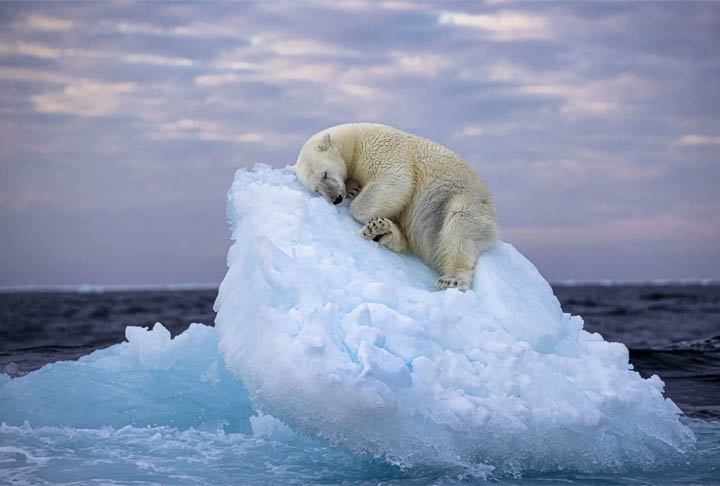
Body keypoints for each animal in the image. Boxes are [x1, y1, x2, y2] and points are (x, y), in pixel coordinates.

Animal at [292, 123, 496, 290]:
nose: (336, 198)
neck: (355, 140)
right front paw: (353, 188)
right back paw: (381, 231)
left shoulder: (382, 150)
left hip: (463, 199)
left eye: (325, 174)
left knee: (460, 226)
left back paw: (452, 279)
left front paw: (355, 199)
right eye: (316, 189)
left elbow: (395, 181)